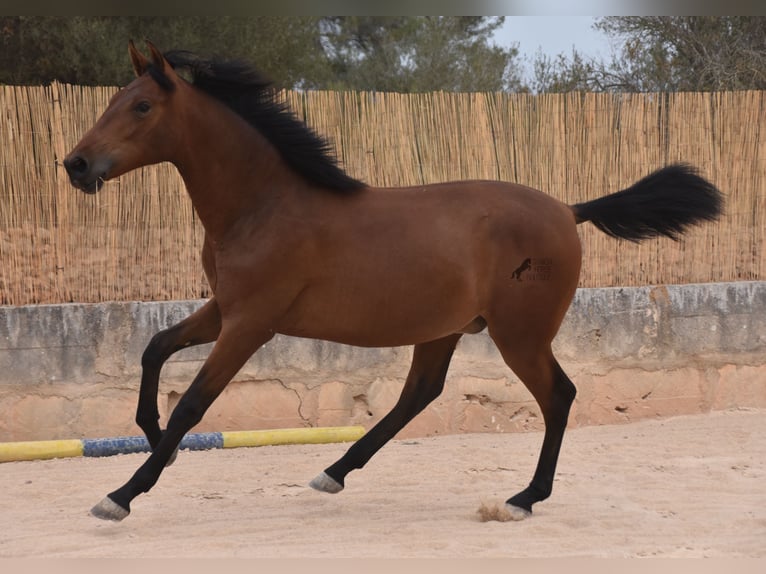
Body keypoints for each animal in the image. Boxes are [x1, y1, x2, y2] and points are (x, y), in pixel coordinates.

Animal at [63, 42, 724, 524]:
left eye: (141, 107)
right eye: (117, 99)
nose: (76, 164)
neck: (264, 205)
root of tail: (568, 209)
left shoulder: (250, 324)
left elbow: (194, 402)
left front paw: (122, 494)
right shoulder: (224, 309)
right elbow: (154, 350)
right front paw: (154, 440)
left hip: (520, 336)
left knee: (558, 396)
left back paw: (522, 499)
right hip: (445, 329)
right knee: (419, 396)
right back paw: (333, 473)